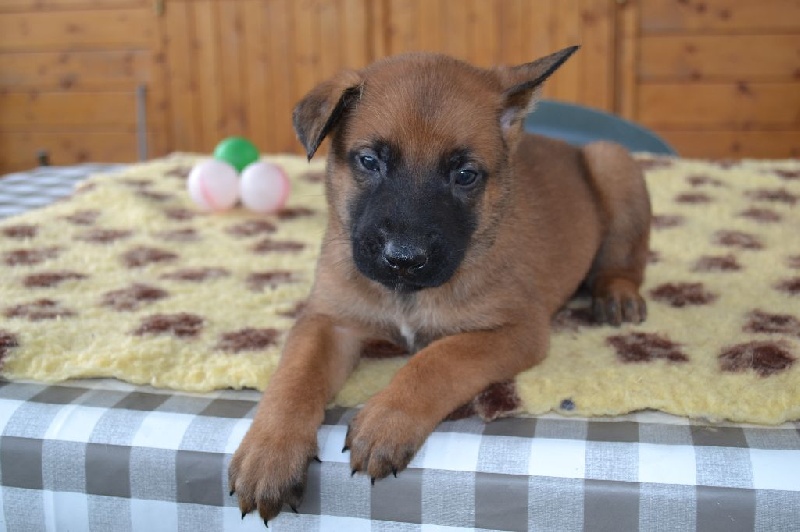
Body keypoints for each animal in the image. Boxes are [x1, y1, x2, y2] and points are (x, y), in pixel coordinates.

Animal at [230, 46, 648, 524]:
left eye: (464, 174)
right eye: (369, 161)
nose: (403, 259)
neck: (405, 297)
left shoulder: (516, 330)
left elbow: (438, 360)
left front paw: (387, 418)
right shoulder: (327, 321)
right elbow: (293, 378)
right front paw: (268, 453)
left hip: (612, 161)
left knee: (624, 259)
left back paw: (616, 294)